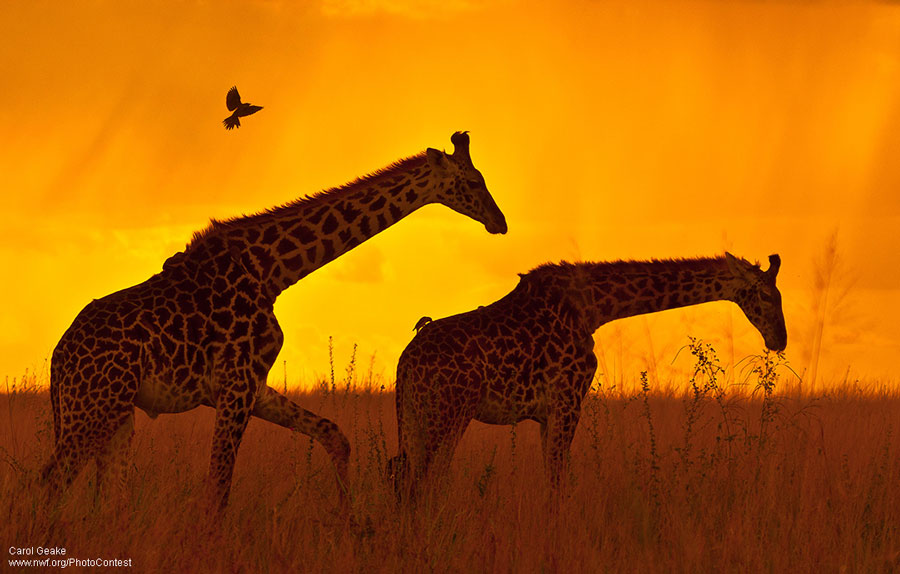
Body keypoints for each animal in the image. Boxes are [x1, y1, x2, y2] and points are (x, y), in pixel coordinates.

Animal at [43, 131, 507, 511]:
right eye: (473, 182)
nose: (499, 221)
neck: (273, 271)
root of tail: (59, 357)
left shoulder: (253, 386)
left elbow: (334, 435)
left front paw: (353, 522)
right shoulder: (235, 387)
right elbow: (218, 490)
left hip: (115, 414)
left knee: (104, 493)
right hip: (94, 406)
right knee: (53, 481)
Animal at [390, 253, 786, 499]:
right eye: (766, 297)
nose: (779, 340)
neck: (595, 307)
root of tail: (405, 363)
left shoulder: (549, 412)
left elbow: (553, 477)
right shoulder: (566, 402)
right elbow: (557, 480)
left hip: (413, 415)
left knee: (404, 473)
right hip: (447, 414)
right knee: (421, 478)